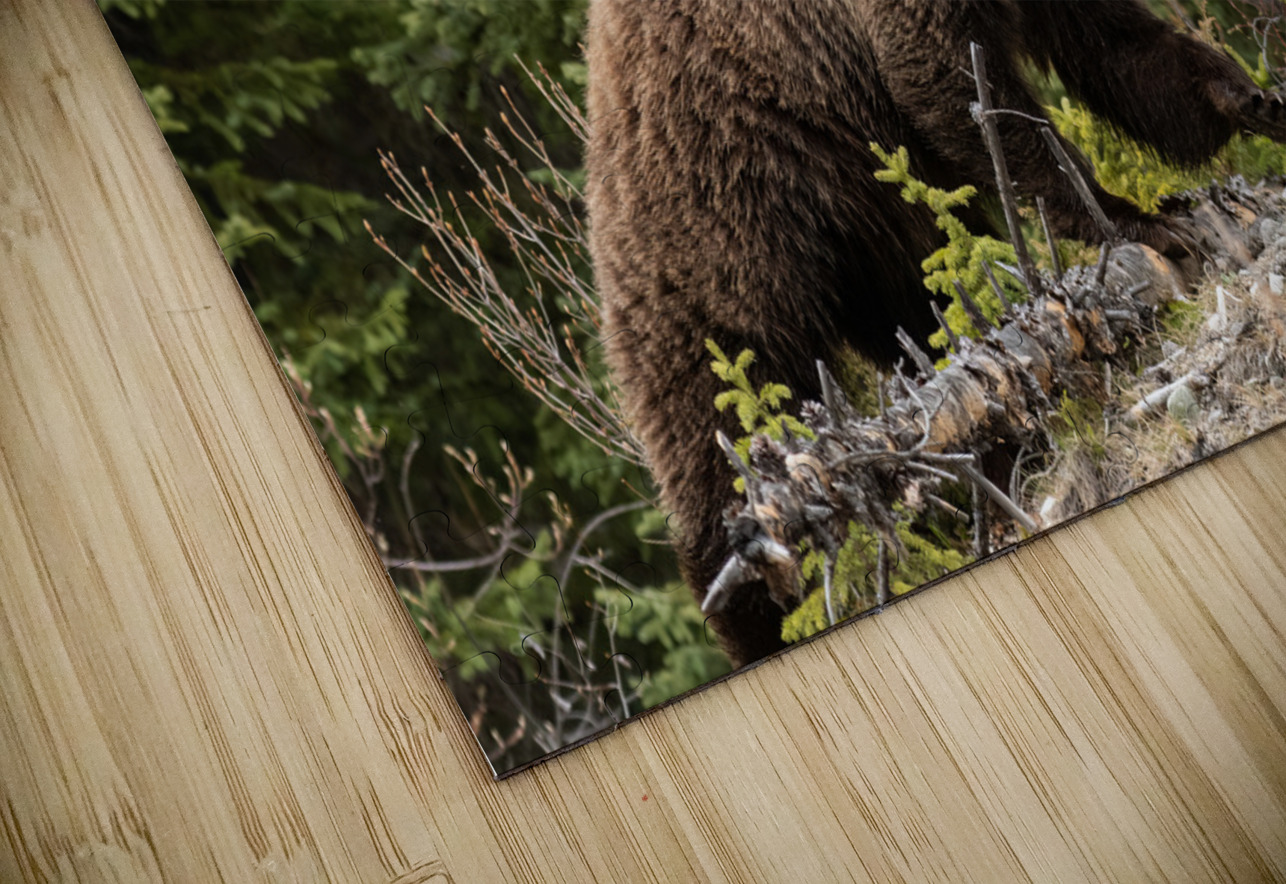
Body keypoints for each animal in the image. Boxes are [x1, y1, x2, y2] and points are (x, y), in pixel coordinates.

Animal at [583, 0, 1286, 668]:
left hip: (865, 215)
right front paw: (1129, 218)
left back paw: (997, 454)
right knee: (717, 439)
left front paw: (1251, 100)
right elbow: (951, 77)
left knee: (927, 320)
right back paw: (758, 620)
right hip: (727, 245)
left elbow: (1116, 45)